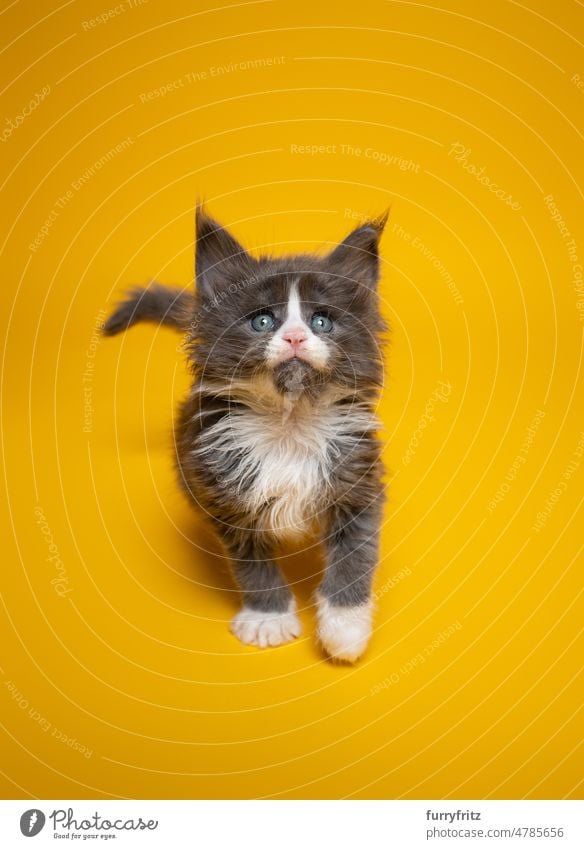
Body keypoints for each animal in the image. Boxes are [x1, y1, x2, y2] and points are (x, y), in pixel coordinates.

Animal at [104, 207, 388, 664]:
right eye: (262, 321)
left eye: (321, 321)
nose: (295, 336)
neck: (288, 423)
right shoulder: (223, 494)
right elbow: (253, 566)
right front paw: (268, 618)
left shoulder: (357, 479)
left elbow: (354, 557)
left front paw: (345, 630)